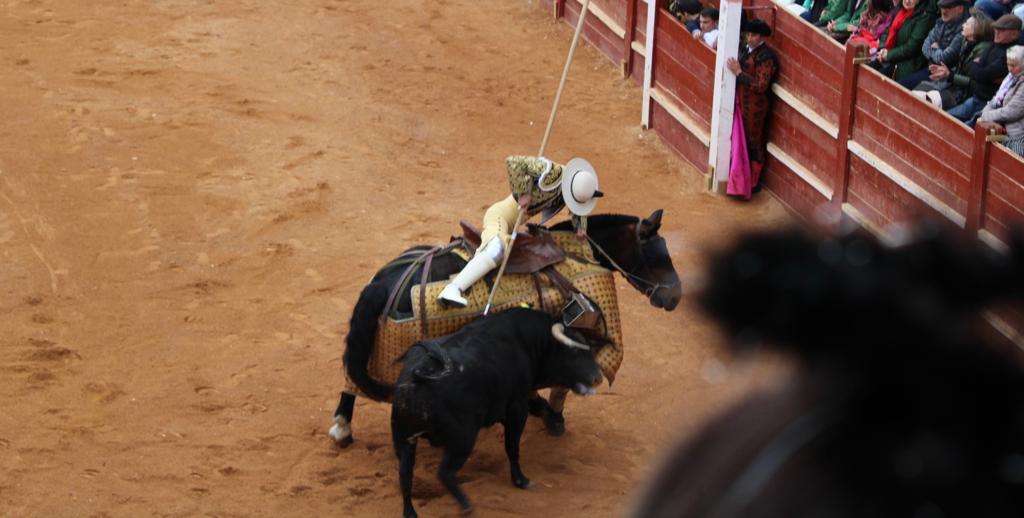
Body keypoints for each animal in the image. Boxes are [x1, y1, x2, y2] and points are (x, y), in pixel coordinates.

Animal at [329, 209, 679, 444]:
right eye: (658, 255)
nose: (676, 296)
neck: (577, 254)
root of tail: (385, 281)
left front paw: (542, 409)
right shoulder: (579, 330)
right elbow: (567, 379)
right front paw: (552, 416)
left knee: (351, 377)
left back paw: (341, 427)